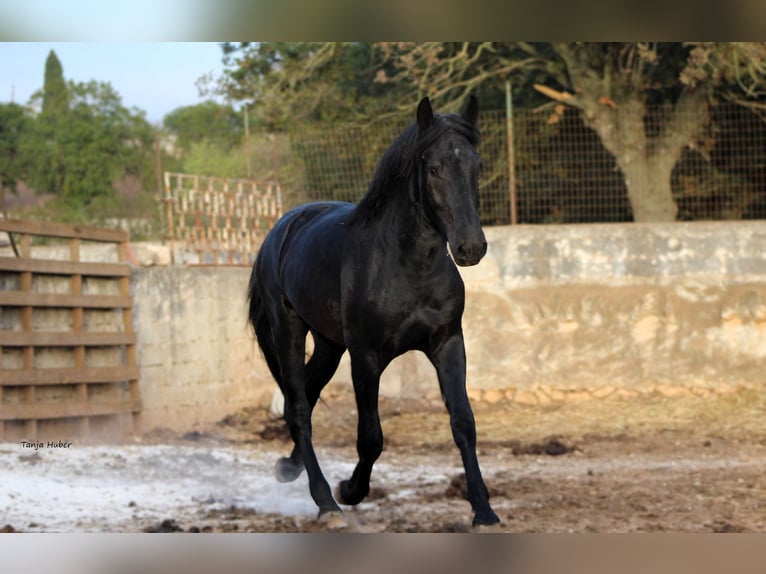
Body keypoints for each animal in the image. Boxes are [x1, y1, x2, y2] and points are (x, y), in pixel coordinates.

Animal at [248, 95, 504, 532]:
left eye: (477, 164)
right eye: (433, 168)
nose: (471, 247)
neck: (406, 264)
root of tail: (282, 228)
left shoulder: (448, 342)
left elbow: (463, 423)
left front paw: (484, 511)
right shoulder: (366, 356)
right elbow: (371, 436)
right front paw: (350, 491)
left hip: (329, 344)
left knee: (307, 397)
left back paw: (288, 468)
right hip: (289, 331)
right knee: (298, 407)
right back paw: (326, 503)